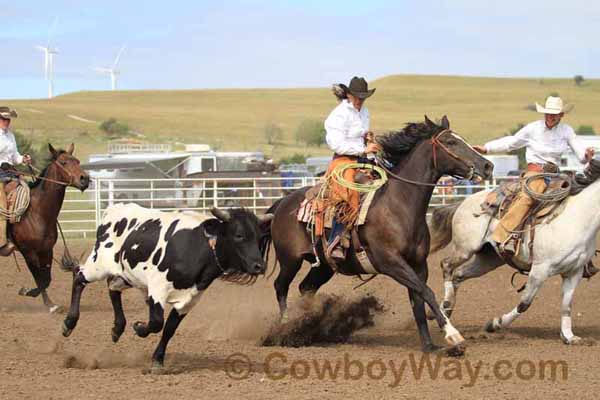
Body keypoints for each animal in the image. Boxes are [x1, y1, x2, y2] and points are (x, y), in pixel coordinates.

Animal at [11, 144, 89, 312]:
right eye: (64, 162)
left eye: (77, 161)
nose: (84, 179)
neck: (36, 212)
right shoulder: (28, 252)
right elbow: (39, 279)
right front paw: (27, 291)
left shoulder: (46, 250)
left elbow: (46, 278)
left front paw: (50, 304)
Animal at [61, 205, 272, 368]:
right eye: (239, 235)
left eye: (259, 237)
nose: (259, 266)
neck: (198, 248)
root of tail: (111, 211)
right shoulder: (157, 289)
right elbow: (156, 322)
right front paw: (139, 328)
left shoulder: (189, 301)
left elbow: (169, 328)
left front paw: (157, 360)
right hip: (98, 265)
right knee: (78, 278)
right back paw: (69, 323)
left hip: (127, 275)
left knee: (112, 288)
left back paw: (117, 328)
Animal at [262, 116, 492, 354]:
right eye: (450, 142)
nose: (487, 165)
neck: (399, 205)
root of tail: (282, 203)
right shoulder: (390, 262)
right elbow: (426, 292)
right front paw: (452, 335)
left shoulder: (418, 265)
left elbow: (418, 301)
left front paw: (429, 345)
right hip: (290, 260)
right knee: (281, 287)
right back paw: (284, 329)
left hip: (324, 266)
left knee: (305, 288)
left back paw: (305, 326)